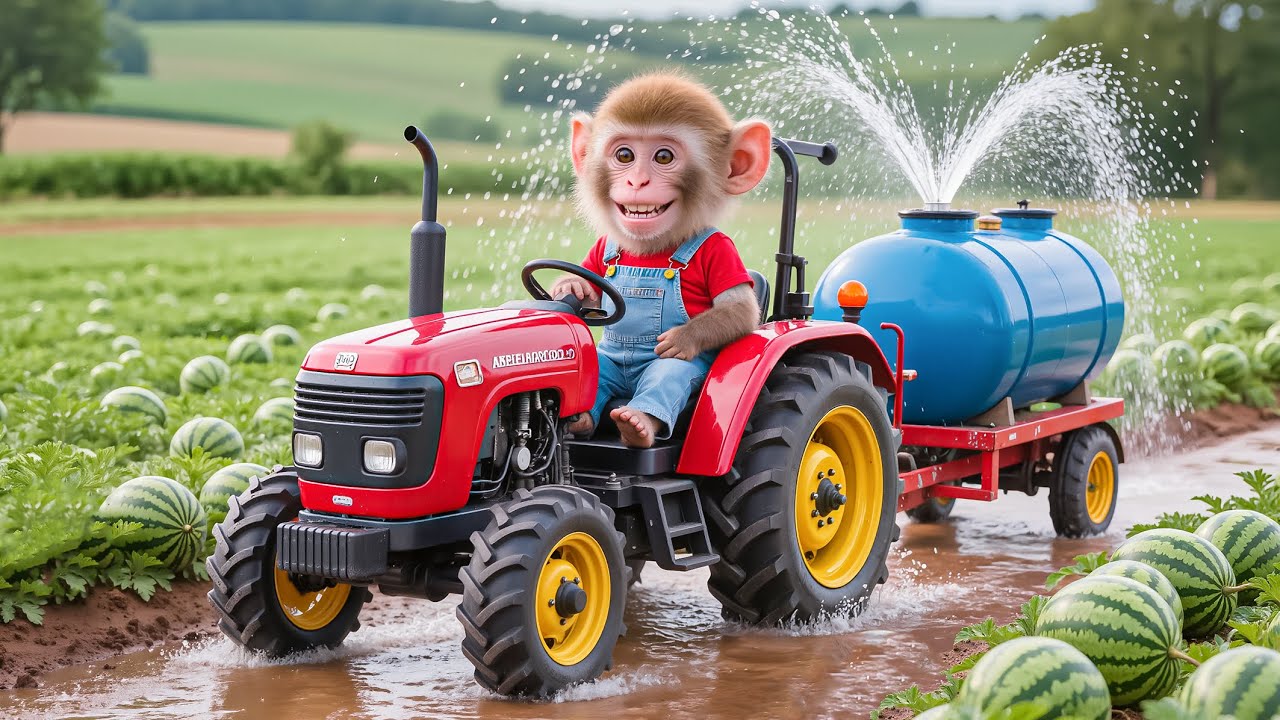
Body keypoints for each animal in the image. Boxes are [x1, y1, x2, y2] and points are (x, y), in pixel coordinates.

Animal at [549, 72, 771, 448]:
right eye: (624, 155)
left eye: (664, 157)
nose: (637, 181)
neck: (653, 249)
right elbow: (589, 282)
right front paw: (571, 286)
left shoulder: (722, 252)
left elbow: (739, 310)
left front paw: (680, 338)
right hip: (606, 366)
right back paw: (585, 420)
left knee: (664, 380)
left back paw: (636, 422)